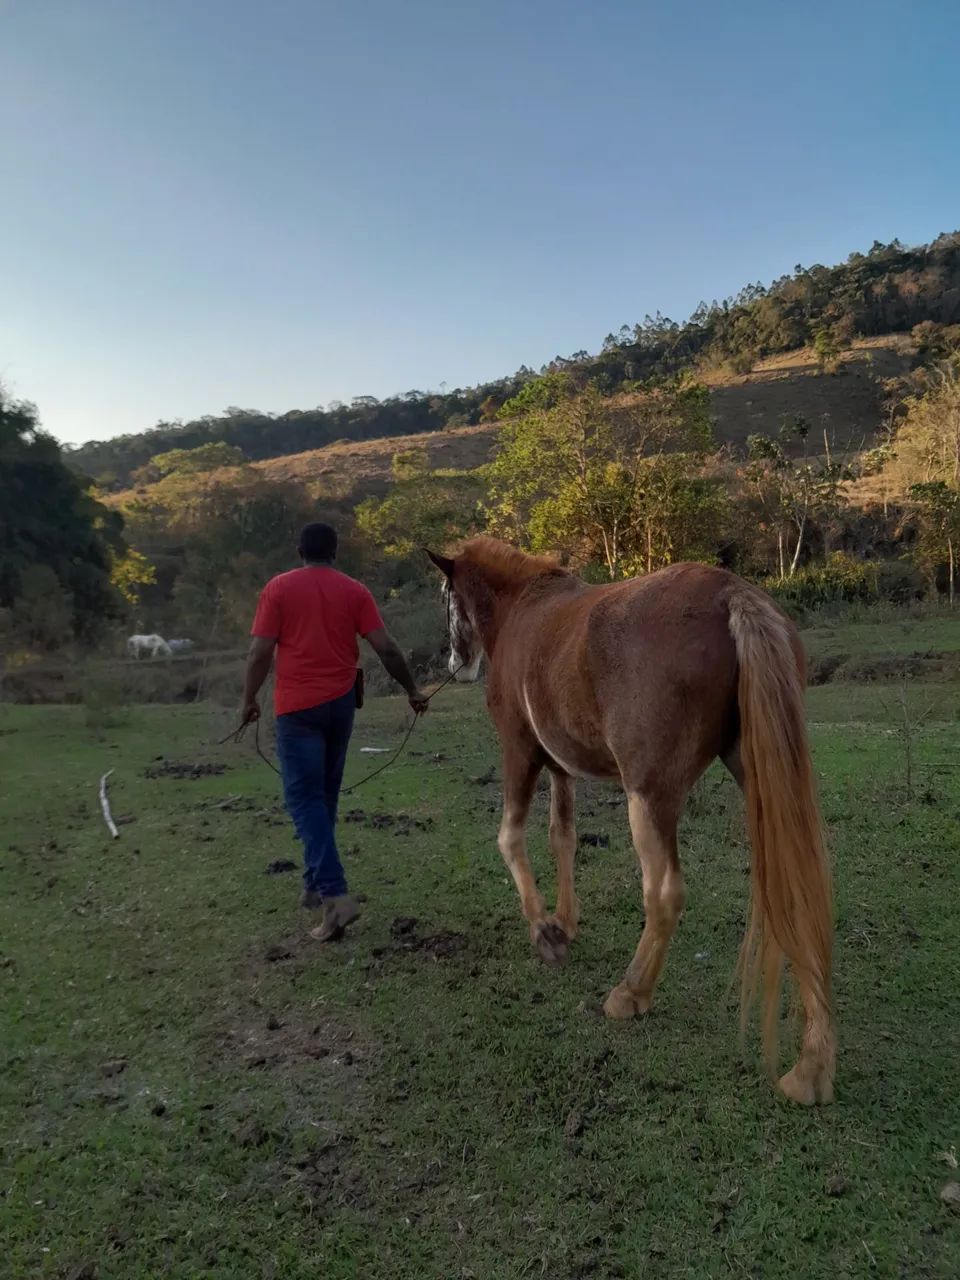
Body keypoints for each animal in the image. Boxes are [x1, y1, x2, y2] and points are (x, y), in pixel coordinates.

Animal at [426, 537, 834, 1105]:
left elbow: (510, 838)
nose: (454, 661)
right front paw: (564, 921)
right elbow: (562, 837)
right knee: (798, 886)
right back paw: (813, 1064)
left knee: (664, 893)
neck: (521, 609)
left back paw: (632, 992)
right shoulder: (561, 766)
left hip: (648, 798)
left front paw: (544, 932)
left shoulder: (520, 751)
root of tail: (732, 595)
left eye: (446, 599)